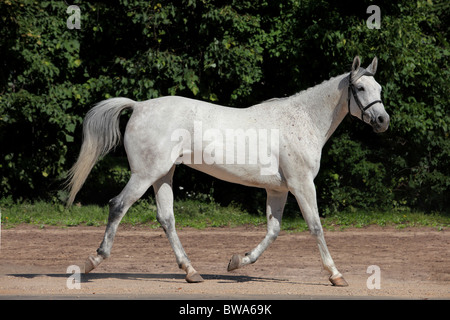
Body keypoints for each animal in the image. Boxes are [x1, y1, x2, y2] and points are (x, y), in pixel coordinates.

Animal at [67, 56, 390, 286]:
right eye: (360, 88)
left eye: (379, 89)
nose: (382, 120)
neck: (303, 120)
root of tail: (139, 106)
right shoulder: (302, 185)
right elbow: (316, 226)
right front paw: (336, 275)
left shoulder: (278, 189)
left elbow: (273, 230)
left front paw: (237, 261)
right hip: (144, 175)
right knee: (118, 206)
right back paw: (94, 260)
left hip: (163, 176)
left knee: (166, 218)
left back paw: (191, 271)